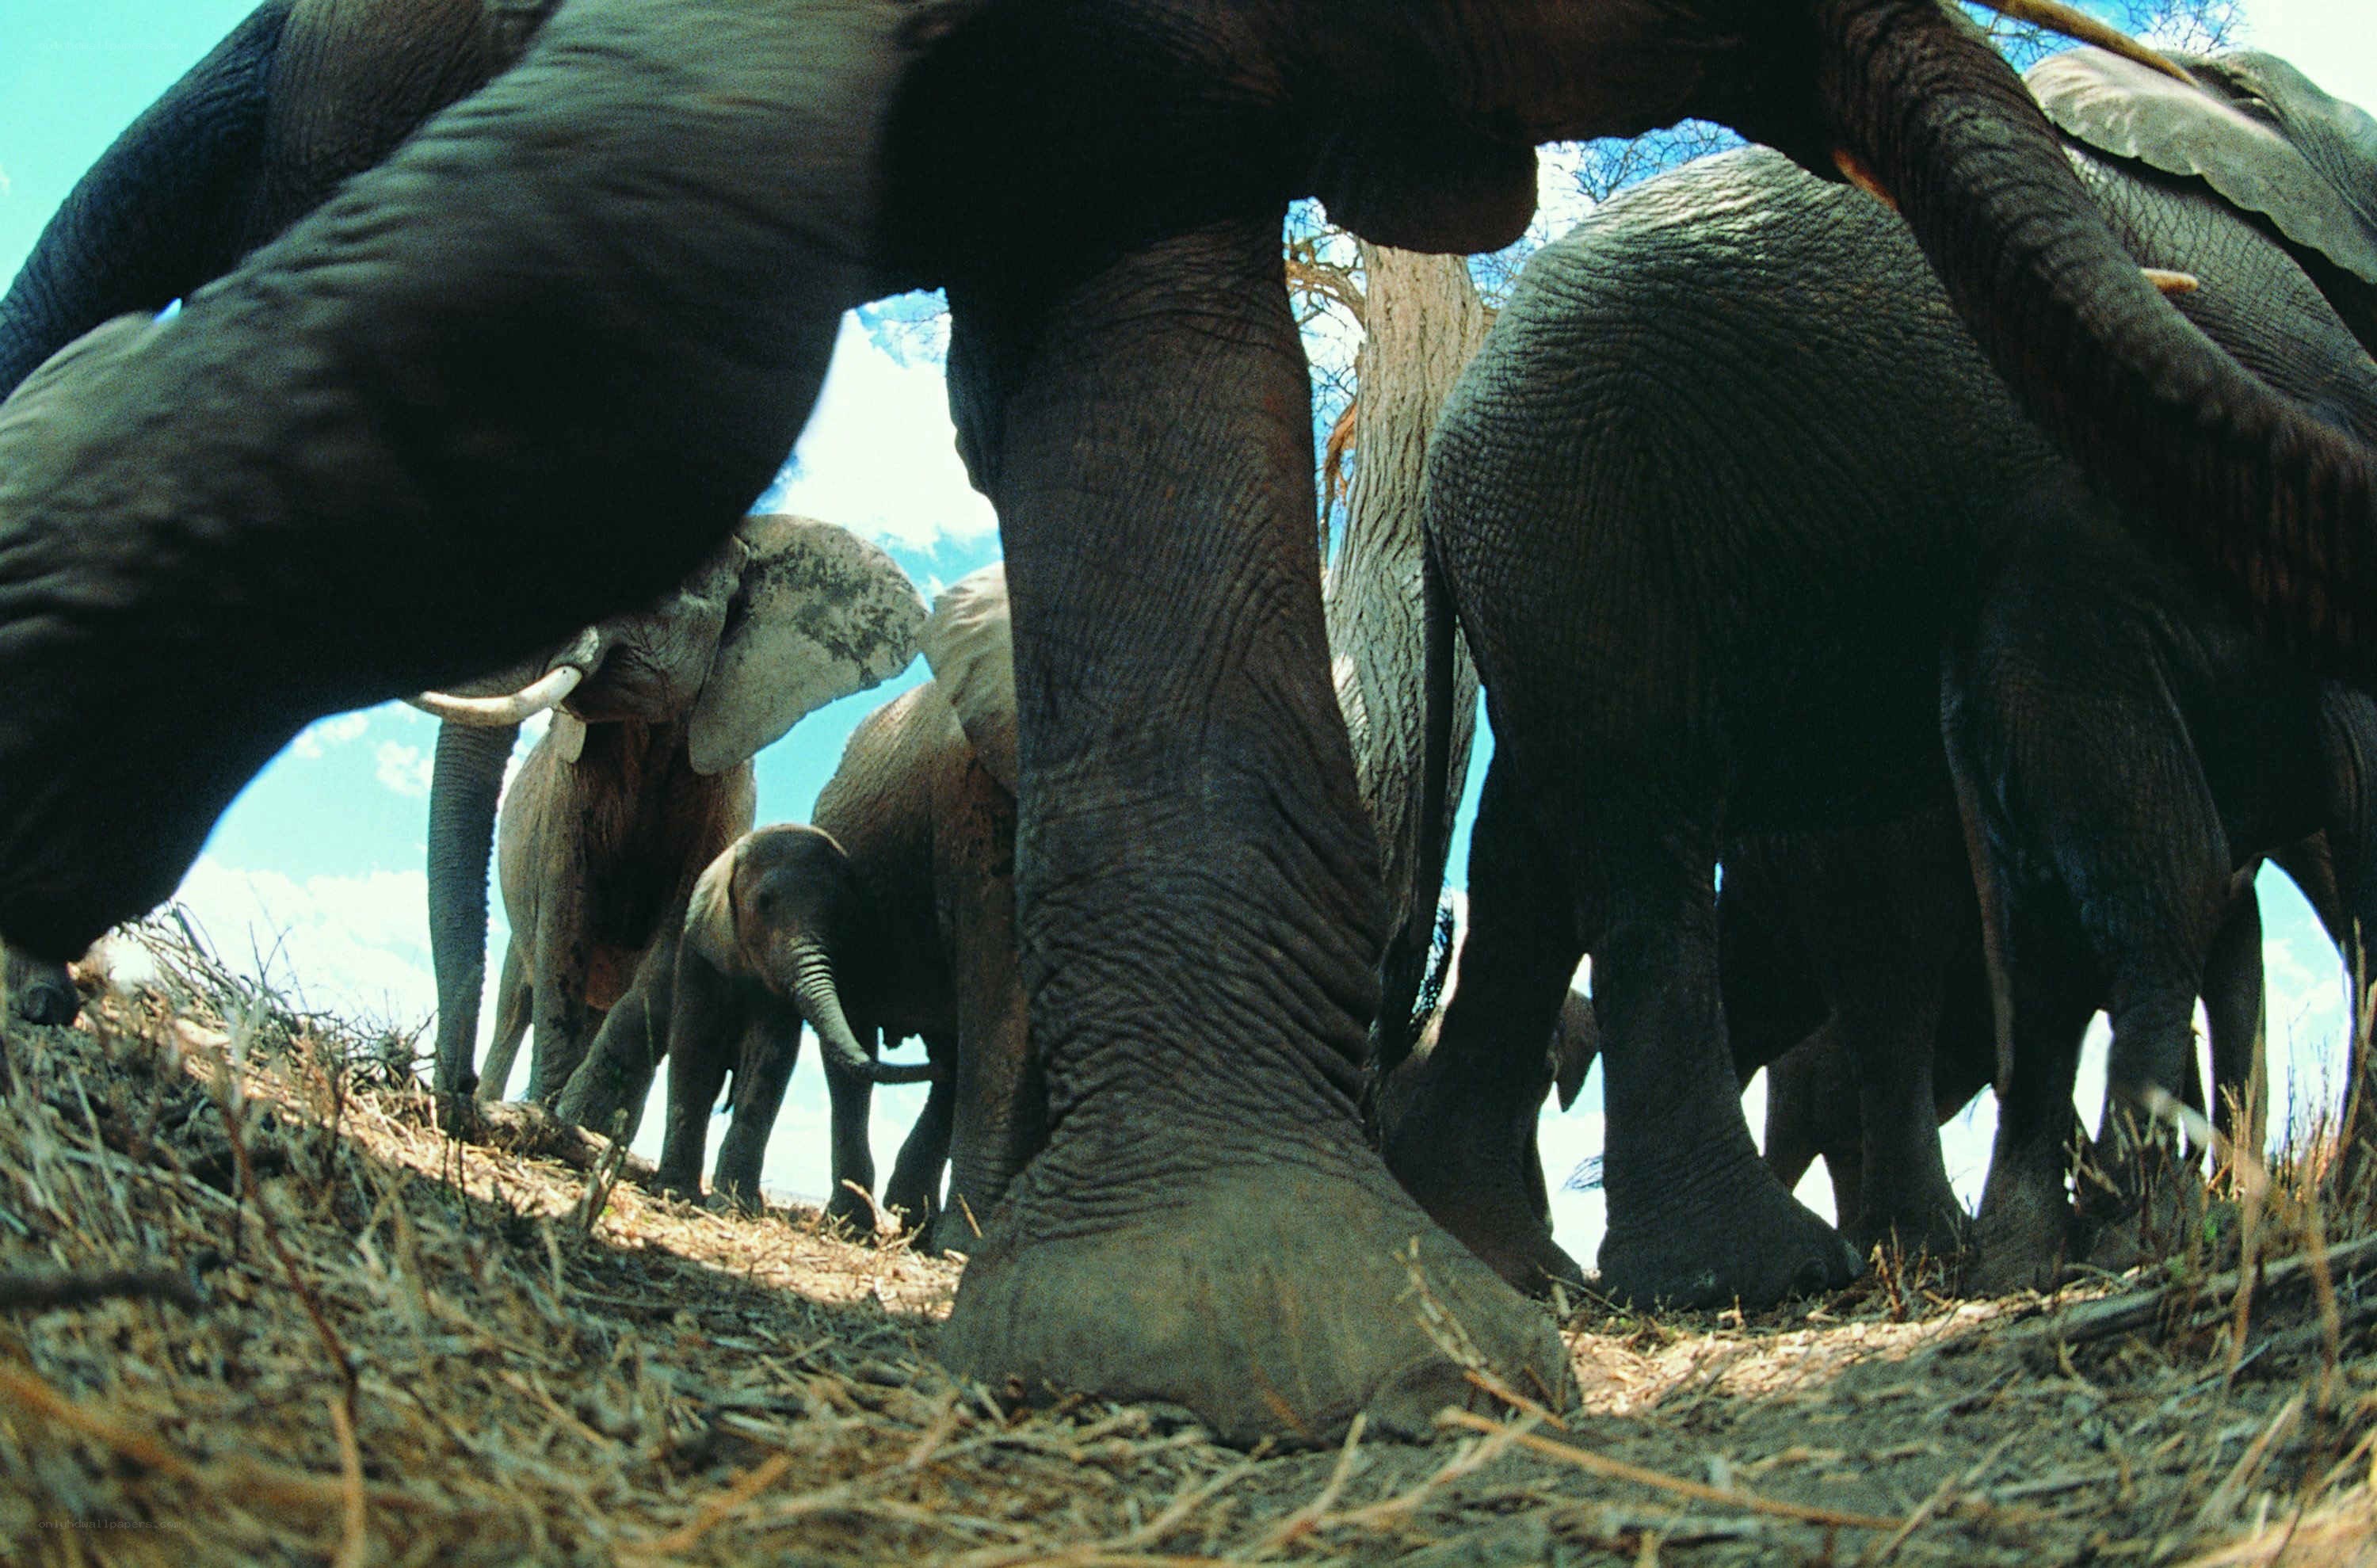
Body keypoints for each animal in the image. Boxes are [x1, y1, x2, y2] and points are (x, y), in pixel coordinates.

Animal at [414, 512, 931, 1105]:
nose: (455, 1081)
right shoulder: (570, 785)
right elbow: (566, 915)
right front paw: (546, 1109)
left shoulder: (725, 783)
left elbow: (676, 931)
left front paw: (567, 1114)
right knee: (516, 1004)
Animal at [1400, 45, 2377, 1314]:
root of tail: (1440, 460)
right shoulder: (2267, 318)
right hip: (1574, 510)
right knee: (1645, 833)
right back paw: (1764, 1272)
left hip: (1537, 549)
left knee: (1536, 857)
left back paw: (1512, 1258)